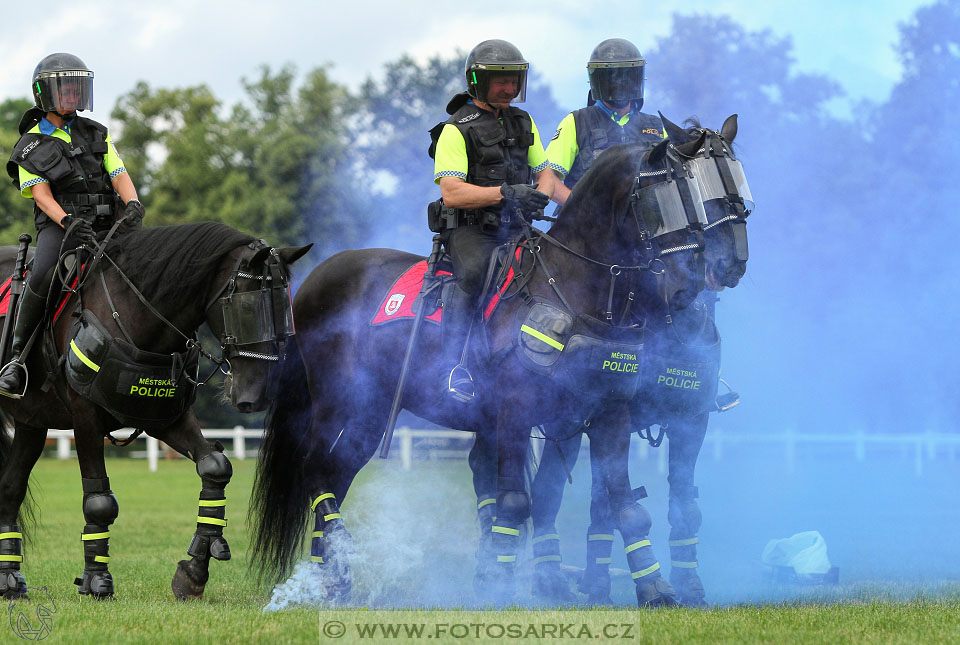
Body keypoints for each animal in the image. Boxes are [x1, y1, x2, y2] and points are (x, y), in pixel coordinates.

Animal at [0, 221, 308, 600]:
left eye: (285, 310)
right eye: (248, 309)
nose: (257, 395)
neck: (134, 312)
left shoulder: (163, 419)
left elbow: (215, 467)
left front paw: (194, 570)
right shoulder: (85, 418)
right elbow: (99, 500)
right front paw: (96, 579)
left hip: (31, 422)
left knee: (10, 489)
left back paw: (10, 579)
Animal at [251, 114, 716, 604]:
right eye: (664, 197)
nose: (686, 285)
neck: (574, 286)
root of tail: (313, 279)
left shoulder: (608, 413)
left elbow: (624, 505)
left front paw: (656, 589)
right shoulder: (515, 411)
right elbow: (514, 503)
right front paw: (497, 587)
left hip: (370, 412)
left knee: (337, 473)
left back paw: (332, 578)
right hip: (339, 402)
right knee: (317, 468)